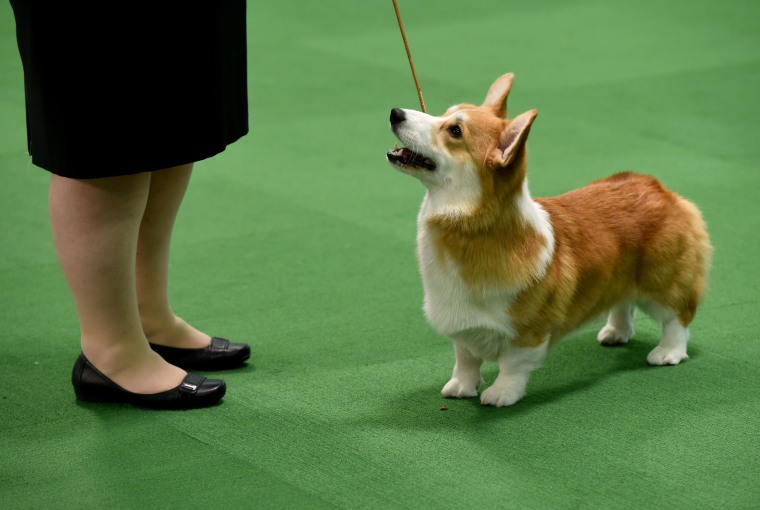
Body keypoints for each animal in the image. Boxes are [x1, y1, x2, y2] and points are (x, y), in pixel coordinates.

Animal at [386, 72, 712, 406]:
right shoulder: (463, 326)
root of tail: (660, 188)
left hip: (663, 282)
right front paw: (461, 387)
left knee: (678, 317)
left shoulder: (529, 332)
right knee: (623, 302)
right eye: (444, 113)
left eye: (454, 130)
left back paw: (668, 352)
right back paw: (615, 333)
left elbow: (512, 365)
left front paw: (501, 394)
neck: (469, 227)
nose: (395, 113)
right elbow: (465, 359)